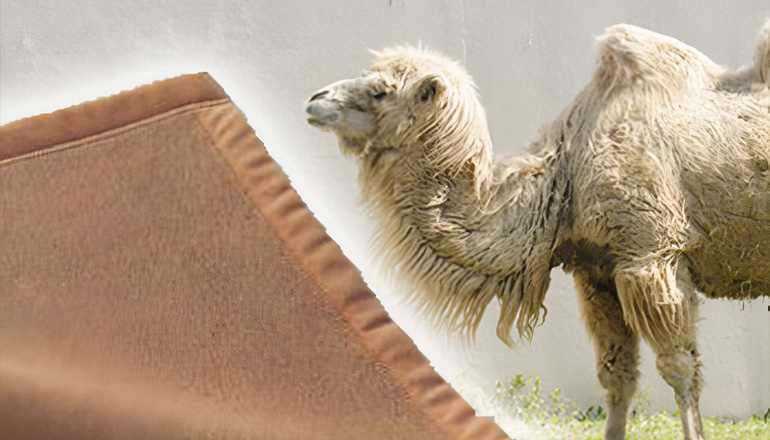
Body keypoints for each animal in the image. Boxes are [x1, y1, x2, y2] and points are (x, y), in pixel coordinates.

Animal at [305, 22, 770, 440]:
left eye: (380, 90)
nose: (314, 100)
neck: (565, 176)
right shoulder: (598, 270)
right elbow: (616, 376)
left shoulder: (652, 255)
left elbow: (679, 369)